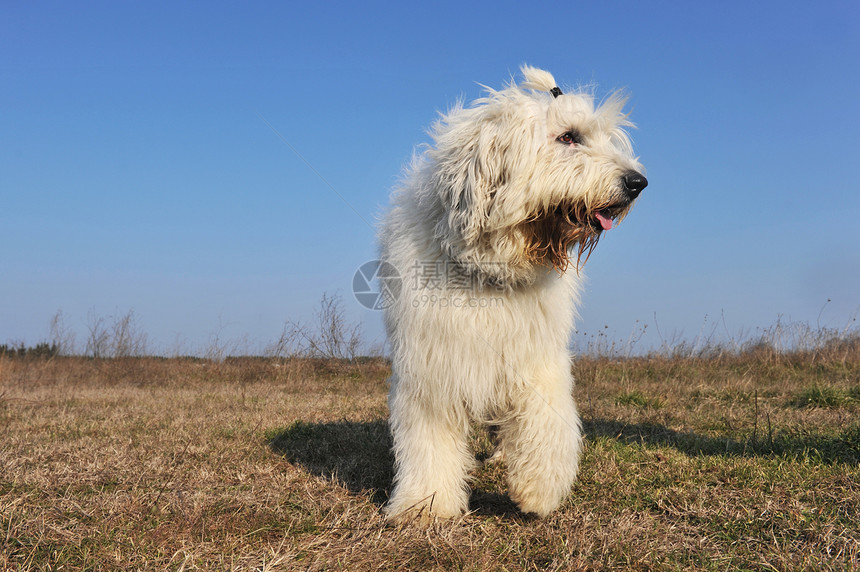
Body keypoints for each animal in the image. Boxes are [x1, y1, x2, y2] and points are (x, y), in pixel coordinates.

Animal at [380, 65, 648, 520]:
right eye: (568, 137)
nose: (637, 182)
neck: (492, 269)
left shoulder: (535, 354)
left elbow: (545, 415)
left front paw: (539, 489)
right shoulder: (433, 363)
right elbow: (430, 437)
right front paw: (426, 505)